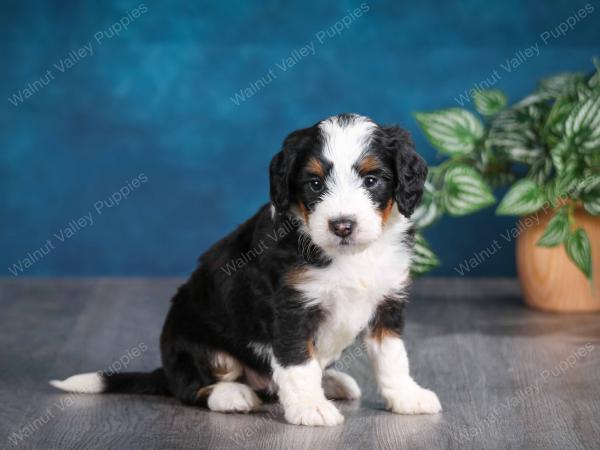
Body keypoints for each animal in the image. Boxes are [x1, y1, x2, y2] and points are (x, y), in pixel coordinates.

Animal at [51, 112, 442, 426]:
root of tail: (165, 369)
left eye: (372, 180)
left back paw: (332, 382)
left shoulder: (388, 300)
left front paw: (407, 396)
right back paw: (233, 395)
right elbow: (297, 361)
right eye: (315, 183)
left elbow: (392, 357)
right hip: (200, 346)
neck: (350, 256)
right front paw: (309, 408)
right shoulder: (291, 307)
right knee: (194, 388)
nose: (342, 226)